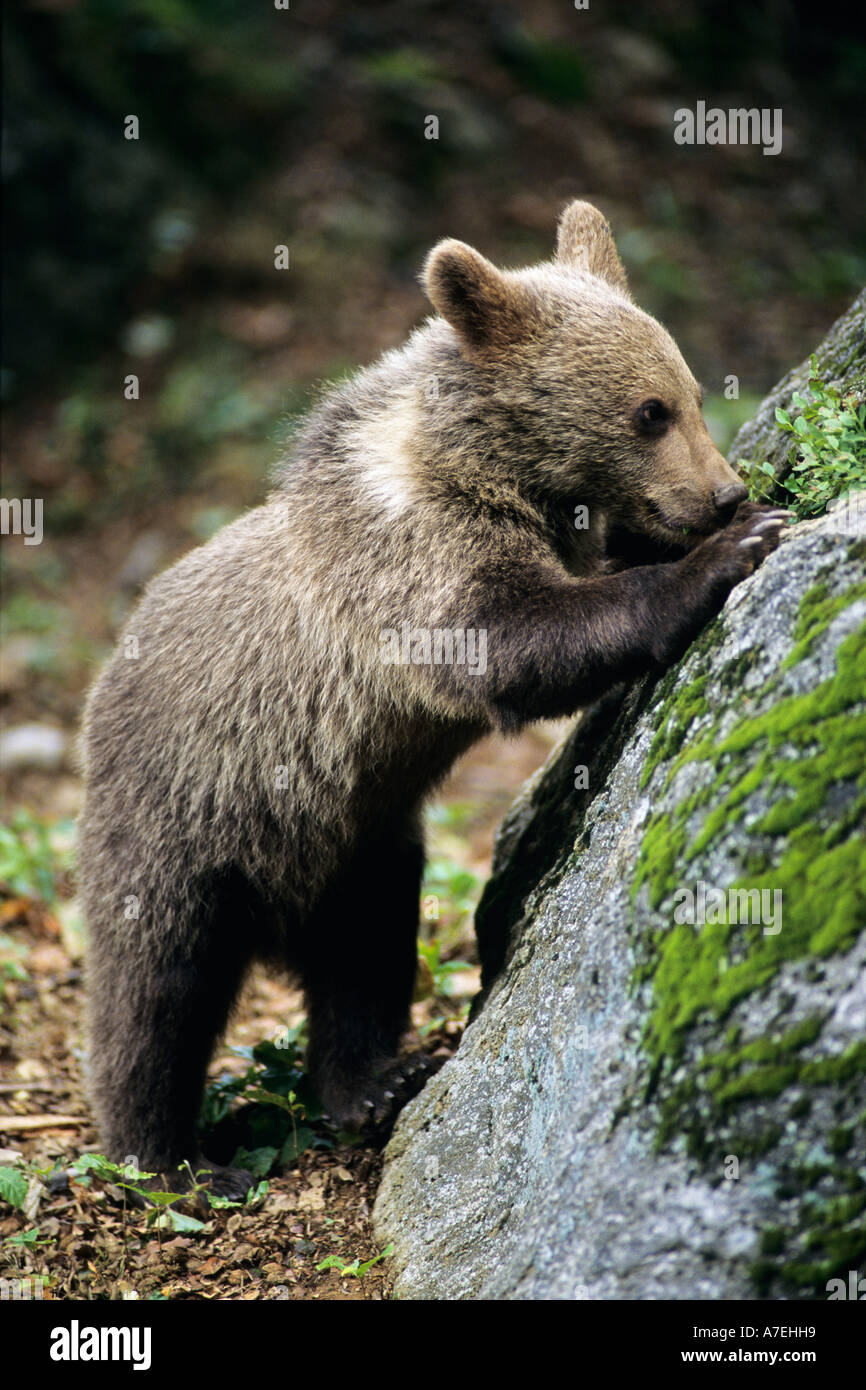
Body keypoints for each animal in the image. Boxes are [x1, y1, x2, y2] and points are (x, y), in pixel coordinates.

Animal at [79, 200, 788, 1196]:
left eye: (689, 391)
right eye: (649, 412)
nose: (723, 494)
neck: (486, 474)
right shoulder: (412, 564)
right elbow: (512, 640)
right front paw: (727, 555)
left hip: (358, 836)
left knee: (366, 954)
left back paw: (373, 1083)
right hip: (187, 818)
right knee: (155, 995)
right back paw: (169, 1157)